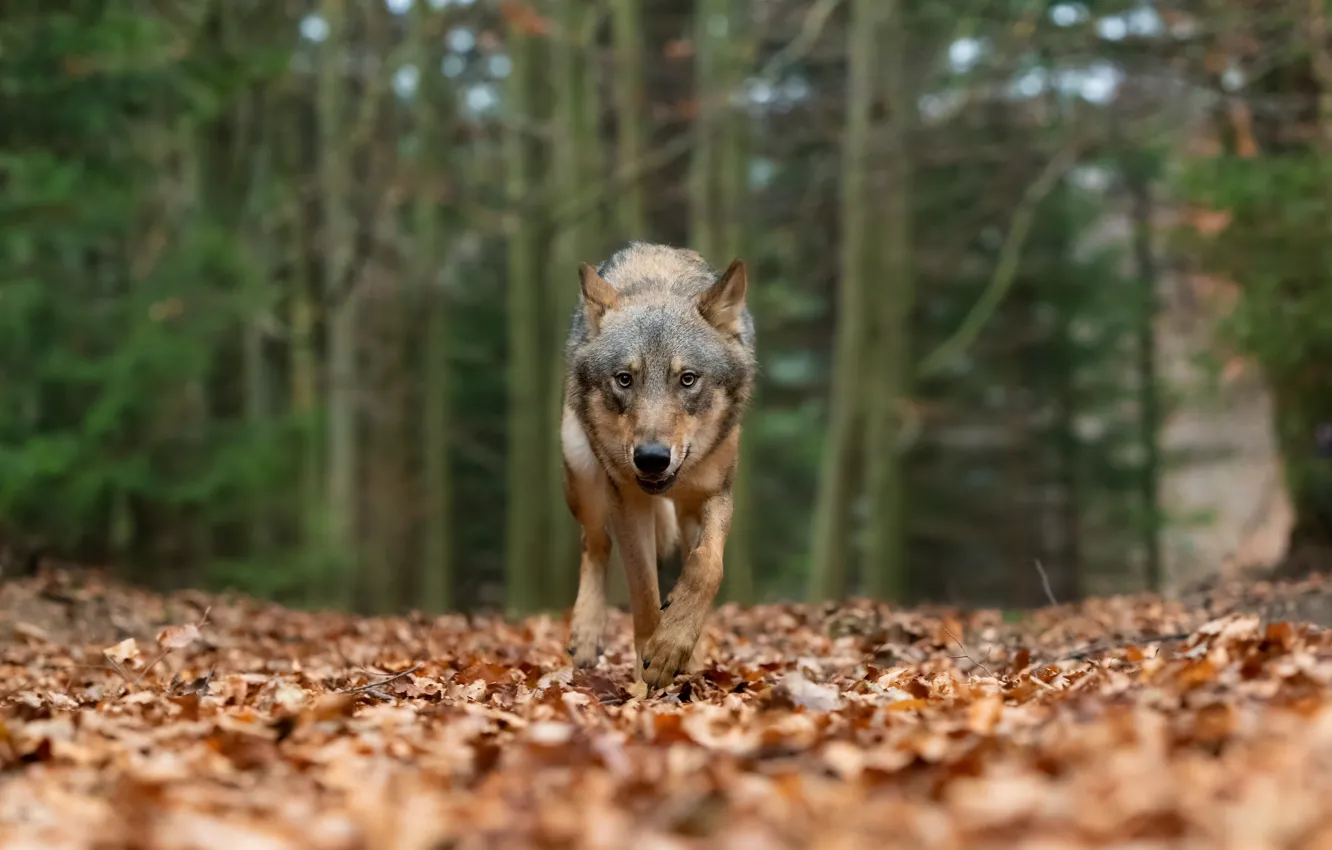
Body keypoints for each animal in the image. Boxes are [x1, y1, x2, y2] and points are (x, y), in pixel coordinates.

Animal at [559, 242, 757, 690]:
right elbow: (645, 594)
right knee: (594, 543)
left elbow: (705, 567)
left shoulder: (714, 493)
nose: (651, 458)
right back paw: (586, 635)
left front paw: (673, 647)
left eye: (687, 379)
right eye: (624, 379)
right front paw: (650, 664)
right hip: (582, 474)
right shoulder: (628, 501)